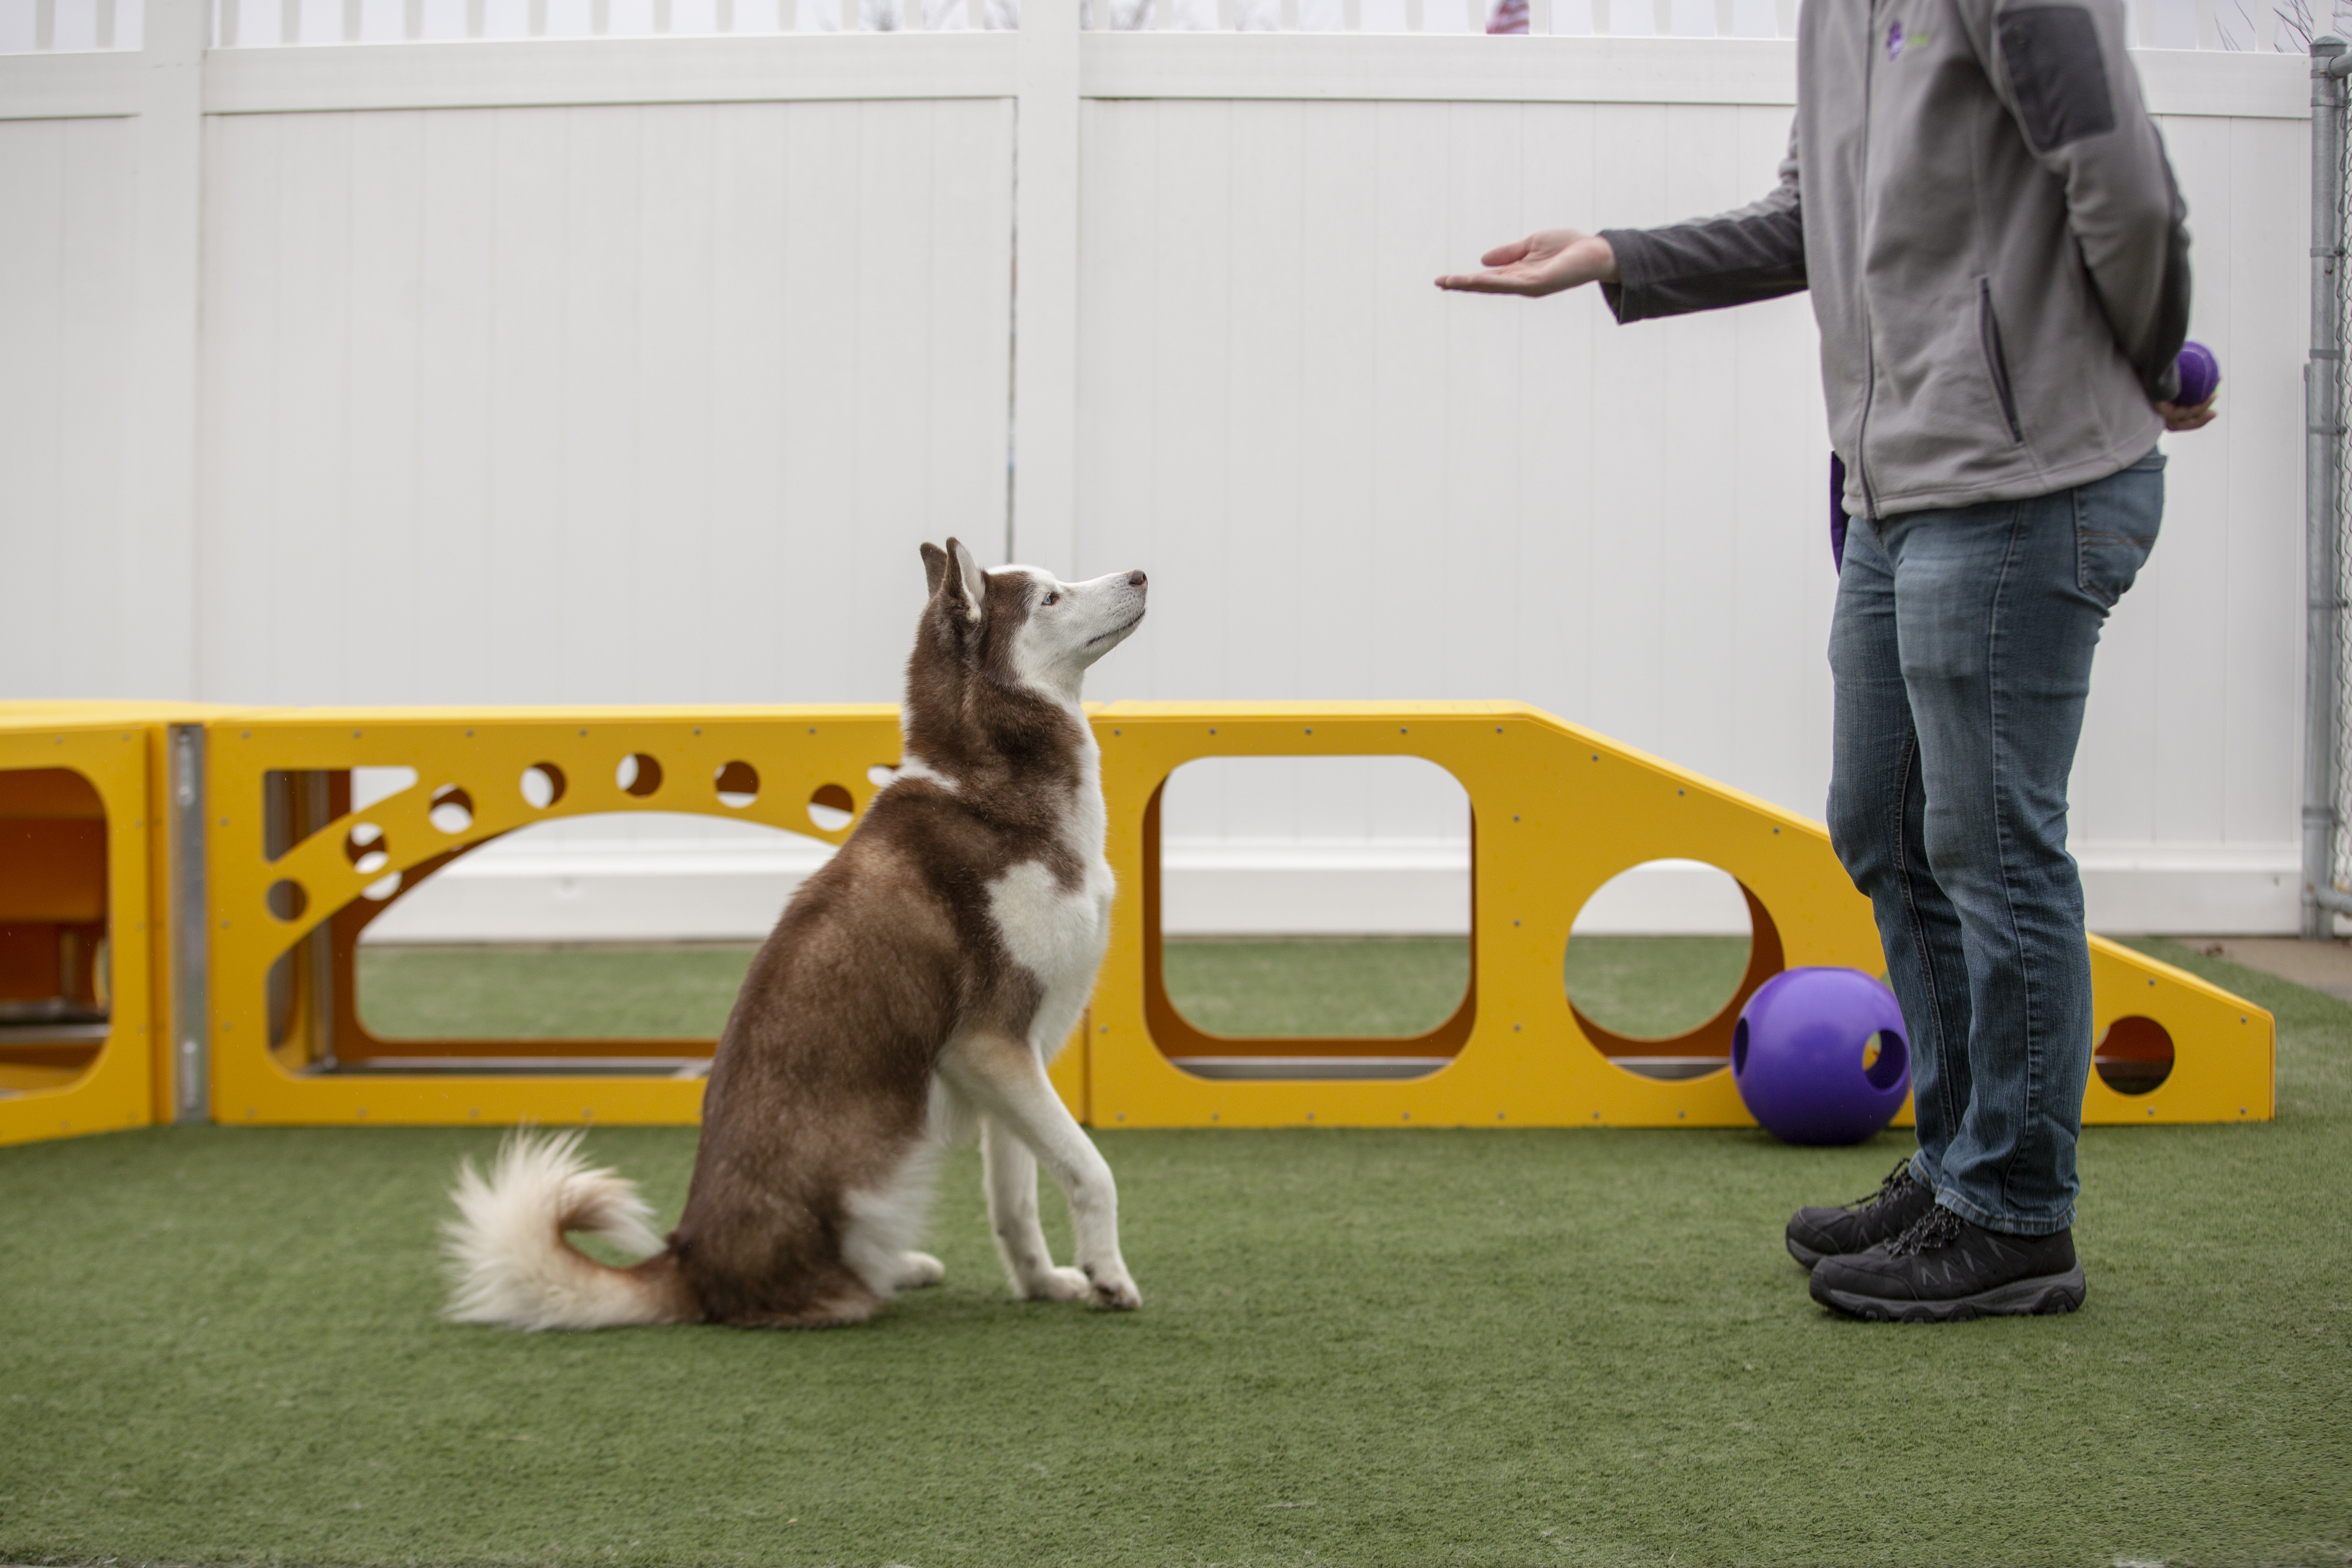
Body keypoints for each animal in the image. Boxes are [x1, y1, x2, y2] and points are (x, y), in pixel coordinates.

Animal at [442, 545, 1147, 1335]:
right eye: (1051, 598)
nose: (1141, 575)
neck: (988, 794)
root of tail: (690, 1263)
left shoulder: (1018, 1061)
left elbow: (1017, 1201)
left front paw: (1046, 1283)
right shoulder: (988, 1046)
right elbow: (1092, 1169)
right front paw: (1111, 1277)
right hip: (884, 1168)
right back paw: (869, 1284)